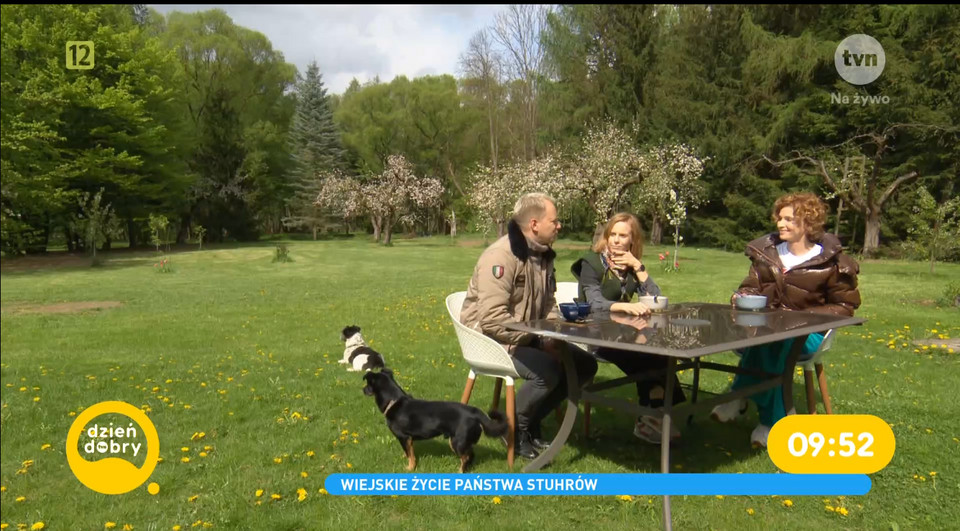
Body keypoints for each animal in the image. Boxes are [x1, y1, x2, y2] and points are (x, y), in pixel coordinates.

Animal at [362, 370, 510, 474]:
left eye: (368, 384)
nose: (362, 390)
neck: (394, 401)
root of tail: (474, 411)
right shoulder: (407, 440)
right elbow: (408, 452)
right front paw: (404, 458)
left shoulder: (404, 437)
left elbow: (411, 456)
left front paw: (410, 468)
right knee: (471, 455)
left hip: (457, 441)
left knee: (466, 457)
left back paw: (459, 472)